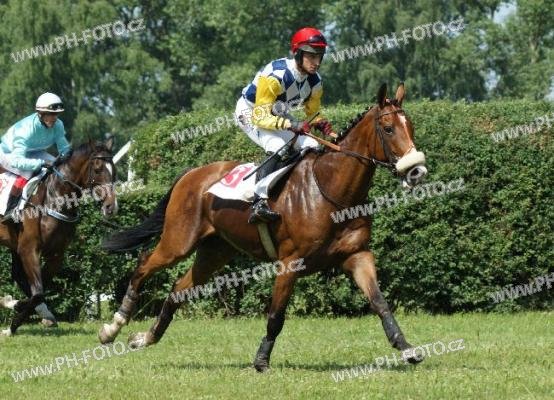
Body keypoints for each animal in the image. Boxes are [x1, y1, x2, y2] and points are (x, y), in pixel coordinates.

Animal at [0, 137, 117, 336]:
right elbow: (38, 293)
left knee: (18, 276)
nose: (111, 207)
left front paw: (18, 313)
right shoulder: (29, 249)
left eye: (114, 169)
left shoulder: (55, 255)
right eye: (98, 169)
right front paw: (13, 313)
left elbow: (39, 293)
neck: (53, 199)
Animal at [99, 83, 428, 371]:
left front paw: (406, 348)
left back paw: (146, 337)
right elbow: (276, 316)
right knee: (144, 265)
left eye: (410, 127)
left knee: (178, 289)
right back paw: (113, 326)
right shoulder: (290, 263)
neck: (332, 192)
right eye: (389, 128)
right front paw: (261, 361)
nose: (417, 171)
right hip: (178, 242)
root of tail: (191, 174)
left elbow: (380, 302)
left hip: (215, 251)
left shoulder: (357, 255)